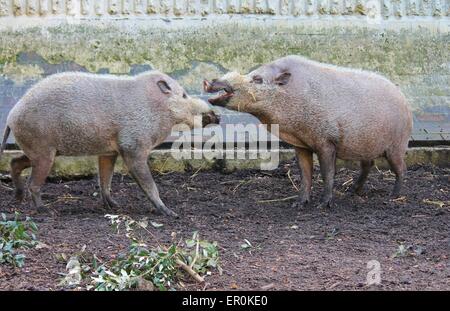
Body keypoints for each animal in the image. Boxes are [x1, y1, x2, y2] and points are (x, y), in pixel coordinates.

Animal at [1, 70, 220, 217]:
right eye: (183, 95)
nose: (216, 116)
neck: (154, 108)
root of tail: (11, 117)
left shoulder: (109, 152)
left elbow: (105, 179)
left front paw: (114, 206)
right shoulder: (133, 148)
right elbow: (148, 184)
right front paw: (171, 213)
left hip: (41, 151)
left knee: (15, 162)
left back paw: (18, 198)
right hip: (44, 152)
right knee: (33, 183)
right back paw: (44, 210)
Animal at [206, 56, 414, 208]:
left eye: (257, 79)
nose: (212, 80)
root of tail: (405, 101)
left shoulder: (326, 141)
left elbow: (327, 173)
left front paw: (323, 205)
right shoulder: (301, 145)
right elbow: (305, 174)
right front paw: (298, 204)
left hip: (396, 145)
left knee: (401, 168)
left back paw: (393, 196)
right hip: (365, 146)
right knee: (368, 165)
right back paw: (352, 192)